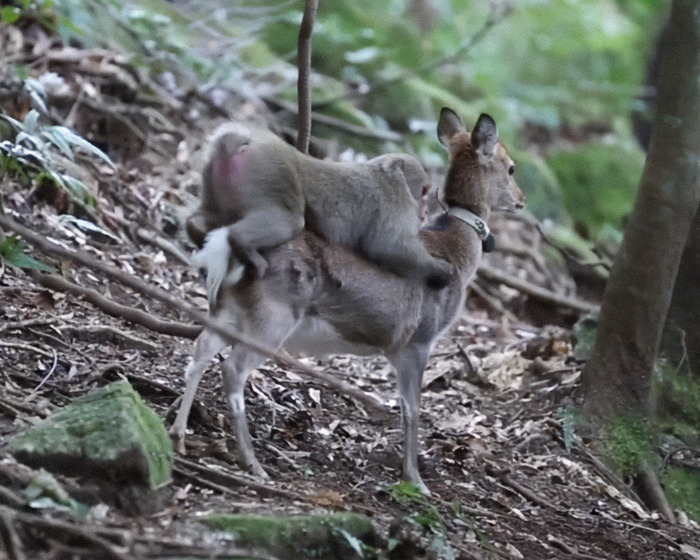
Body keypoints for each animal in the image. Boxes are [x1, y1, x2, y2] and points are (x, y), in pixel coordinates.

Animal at [186, 123, 452, 288]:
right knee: (289, 222)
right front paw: (439, 270)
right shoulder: (395, 202)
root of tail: (241, 145)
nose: (425, 211)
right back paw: (244, 246)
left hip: (213, 180)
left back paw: (197, 228)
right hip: (270, 174)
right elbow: (388, 247)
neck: (388, 175)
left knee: (207, 216)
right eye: (424, 191)